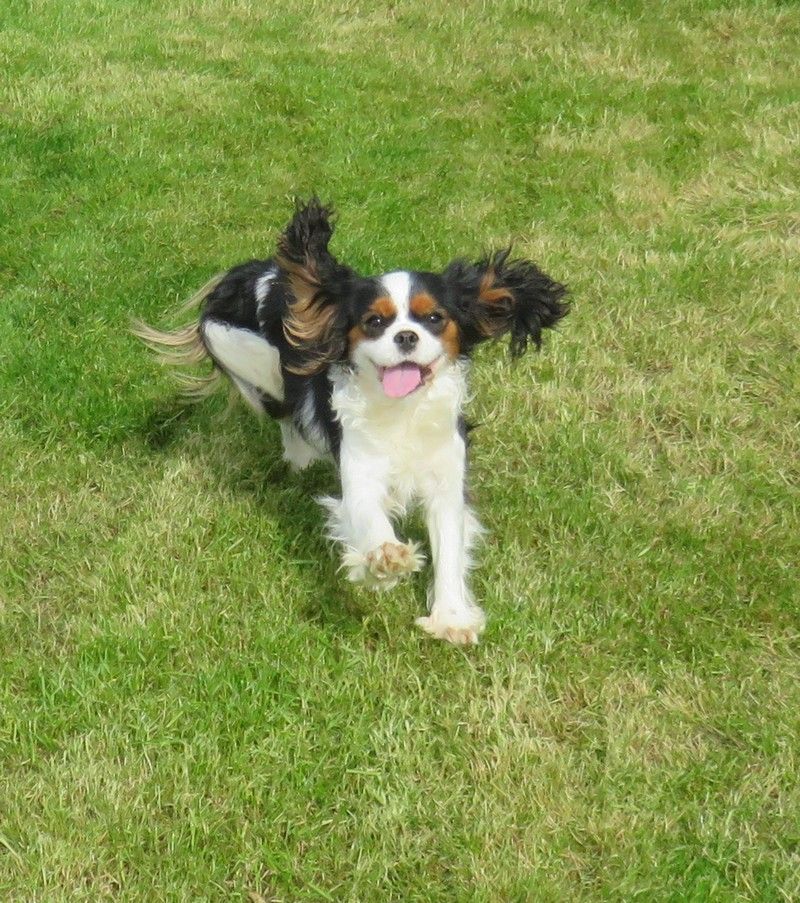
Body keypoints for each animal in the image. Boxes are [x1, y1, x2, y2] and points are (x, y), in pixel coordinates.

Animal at [134, 199, 568, 645]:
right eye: (374, 322)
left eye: (434, 318)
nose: (406, 336)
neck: (402, 410)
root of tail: (256, 271)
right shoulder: (360, 469)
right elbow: (368, 517)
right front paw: (384, 559)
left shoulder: (446, 475)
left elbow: (448, 542)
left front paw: (450, 618)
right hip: (248, 354)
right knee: (286, 409)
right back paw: (299, 459)